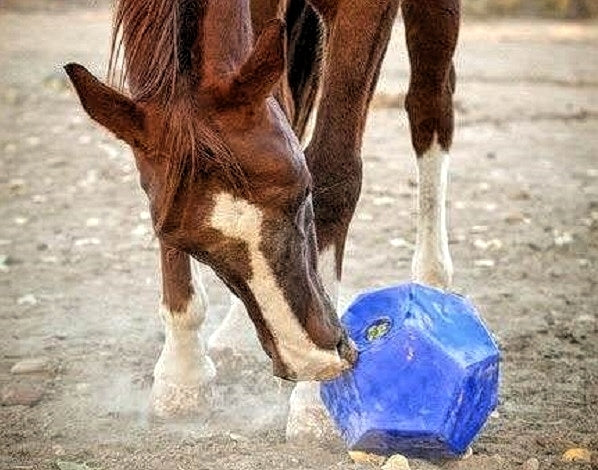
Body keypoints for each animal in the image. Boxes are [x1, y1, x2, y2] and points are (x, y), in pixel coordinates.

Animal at [64, 0, 460, 442]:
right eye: (185, 241)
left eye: (303, 194)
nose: (307, 360)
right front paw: (183, 374)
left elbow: (336, 169)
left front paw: (316, 404)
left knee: (430, 104)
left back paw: (432, 289)